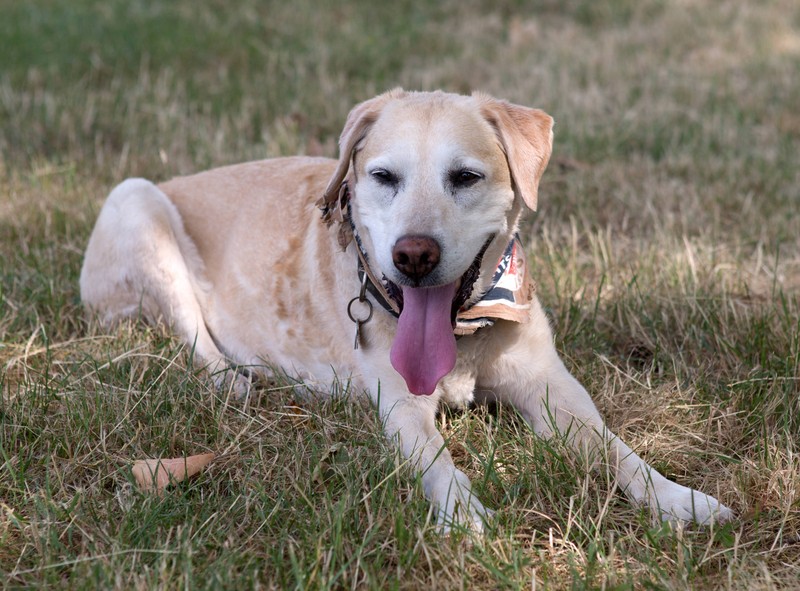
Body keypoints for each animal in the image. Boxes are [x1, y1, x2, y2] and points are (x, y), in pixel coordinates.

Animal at [79, 90, 732, 536]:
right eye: (383, 176)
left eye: (465, 177)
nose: (413, 255)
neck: (462, 333)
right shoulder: (400, 405)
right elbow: (438, 461)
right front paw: (465, 516)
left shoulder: (552, 386)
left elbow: (616, 448)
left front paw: (679, 499)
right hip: (136, 202)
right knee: (194, 338)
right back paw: (231, 379)